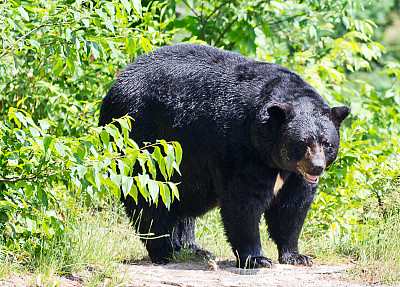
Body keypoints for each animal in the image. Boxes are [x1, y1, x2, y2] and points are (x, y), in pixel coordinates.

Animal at [100, 44, 350, 268]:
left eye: (327, 143)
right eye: (302, 142)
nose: (316, 167)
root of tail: (115, 86)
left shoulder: (293, 174)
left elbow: (292, 207)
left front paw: (296, 255)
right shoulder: (239, 147)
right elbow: (243, 200)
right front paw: (256, 258)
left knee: (179, 197)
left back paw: (193, 248)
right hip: (141, 137)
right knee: (151, 195)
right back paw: (166, 250)